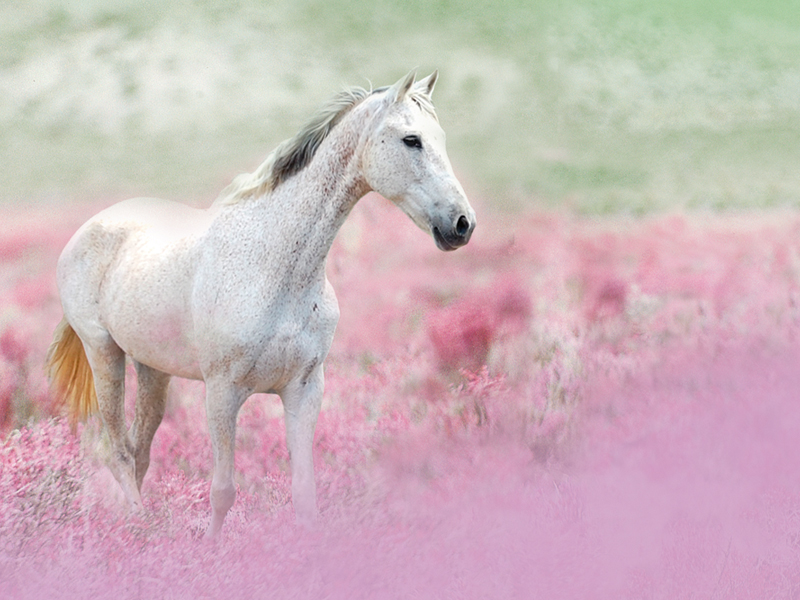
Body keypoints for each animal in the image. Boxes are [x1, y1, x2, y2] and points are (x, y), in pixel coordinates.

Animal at [47, 69, 476, 536]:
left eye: (441, 137)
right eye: (411, 140)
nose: (461, 224)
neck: (275, 268)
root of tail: (88, 228)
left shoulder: (305, 390)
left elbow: (304, 493)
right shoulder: (222, 392)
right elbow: (222, 492)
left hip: (152, 370)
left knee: (140, 450)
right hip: (104, 353)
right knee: (120, 452)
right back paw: (140, 529)